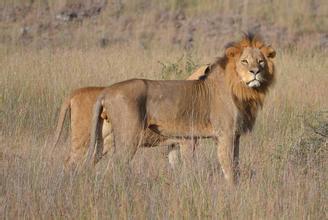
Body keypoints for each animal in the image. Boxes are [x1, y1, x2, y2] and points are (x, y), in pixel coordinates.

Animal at [52, 64, 209, 168]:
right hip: (83, 140)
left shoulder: (173, 144)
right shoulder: (188, 141)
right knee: (70, 162)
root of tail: (74, 93)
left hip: (101, 143)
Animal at [88, 31, 276, 185]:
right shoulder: (224, 134)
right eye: (244, 61)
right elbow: (228, 168)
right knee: (117, 165)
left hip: (103, 137)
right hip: (129, 136)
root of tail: (106, 91)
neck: (243, 90)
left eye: (261, 62)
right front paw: (232, 191)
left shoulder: (234, 135)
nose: (255, 72)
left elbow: (236, 165)